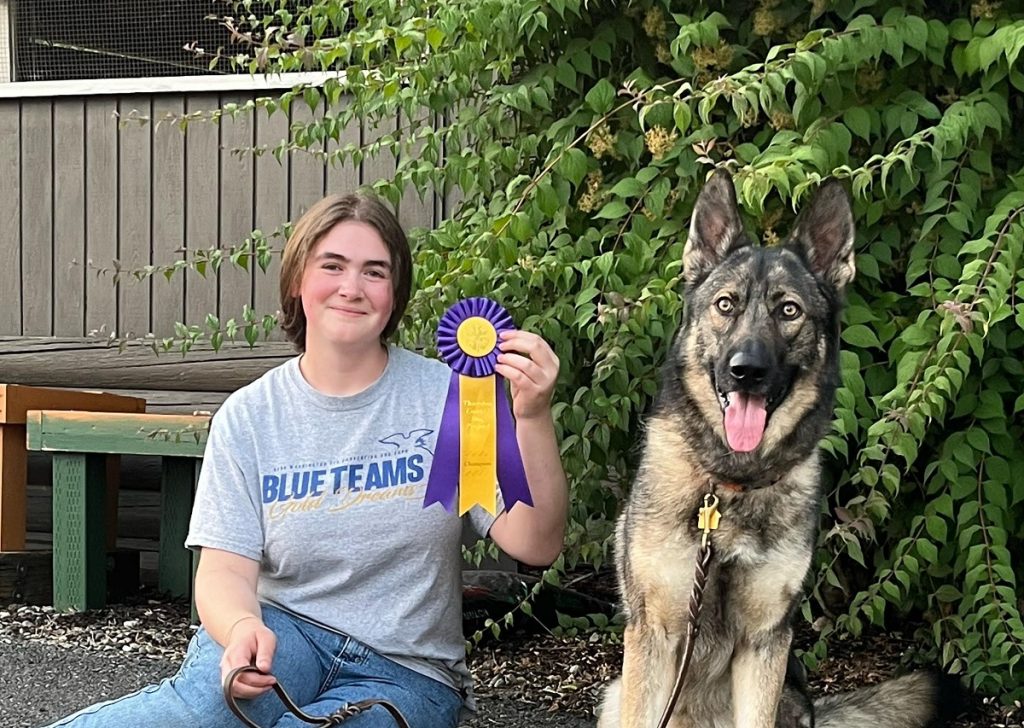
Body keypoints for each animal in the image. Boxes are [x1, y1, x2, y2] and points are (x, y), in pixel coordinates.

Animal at [593, 172, 958, 728]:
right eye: (726, 305)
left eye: (789, 311)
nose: (746, 371)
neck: (729, 487)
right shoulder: (654, 635)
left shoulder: (765, 644)